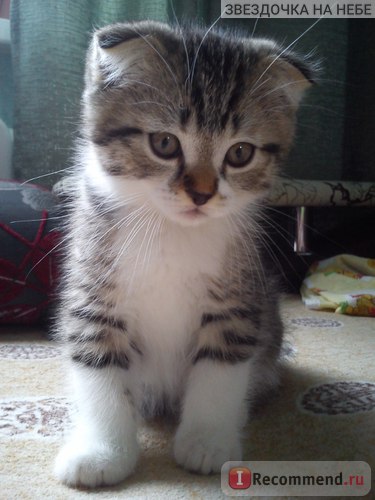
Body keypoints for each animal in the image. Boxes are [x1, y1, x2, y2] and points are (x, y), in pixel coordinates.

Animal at [53, 21, 314, 486]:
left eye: (240, 153)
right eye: (164, 143)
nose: (202, 193)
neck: (169, 230)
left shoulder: (237, 298)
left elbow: (221, 367)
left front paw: (207, 441)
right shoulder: (93, 294)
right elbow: (99, 370)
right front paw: (102, 451)